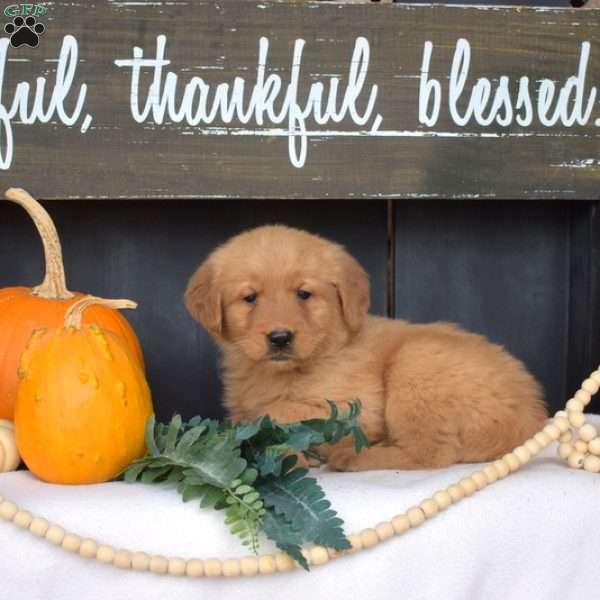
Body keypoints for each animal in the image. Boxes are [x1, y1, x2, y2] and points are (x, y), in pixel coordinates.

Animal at [186, 224, 548, 468]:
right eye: (249, 298)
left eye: (304, 293)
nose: (279, 337)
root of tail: (529, 417)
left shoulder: (356, 405)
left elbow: (279, 411)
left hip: (416, 362)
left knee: (431, 454)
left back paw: (352, 456)